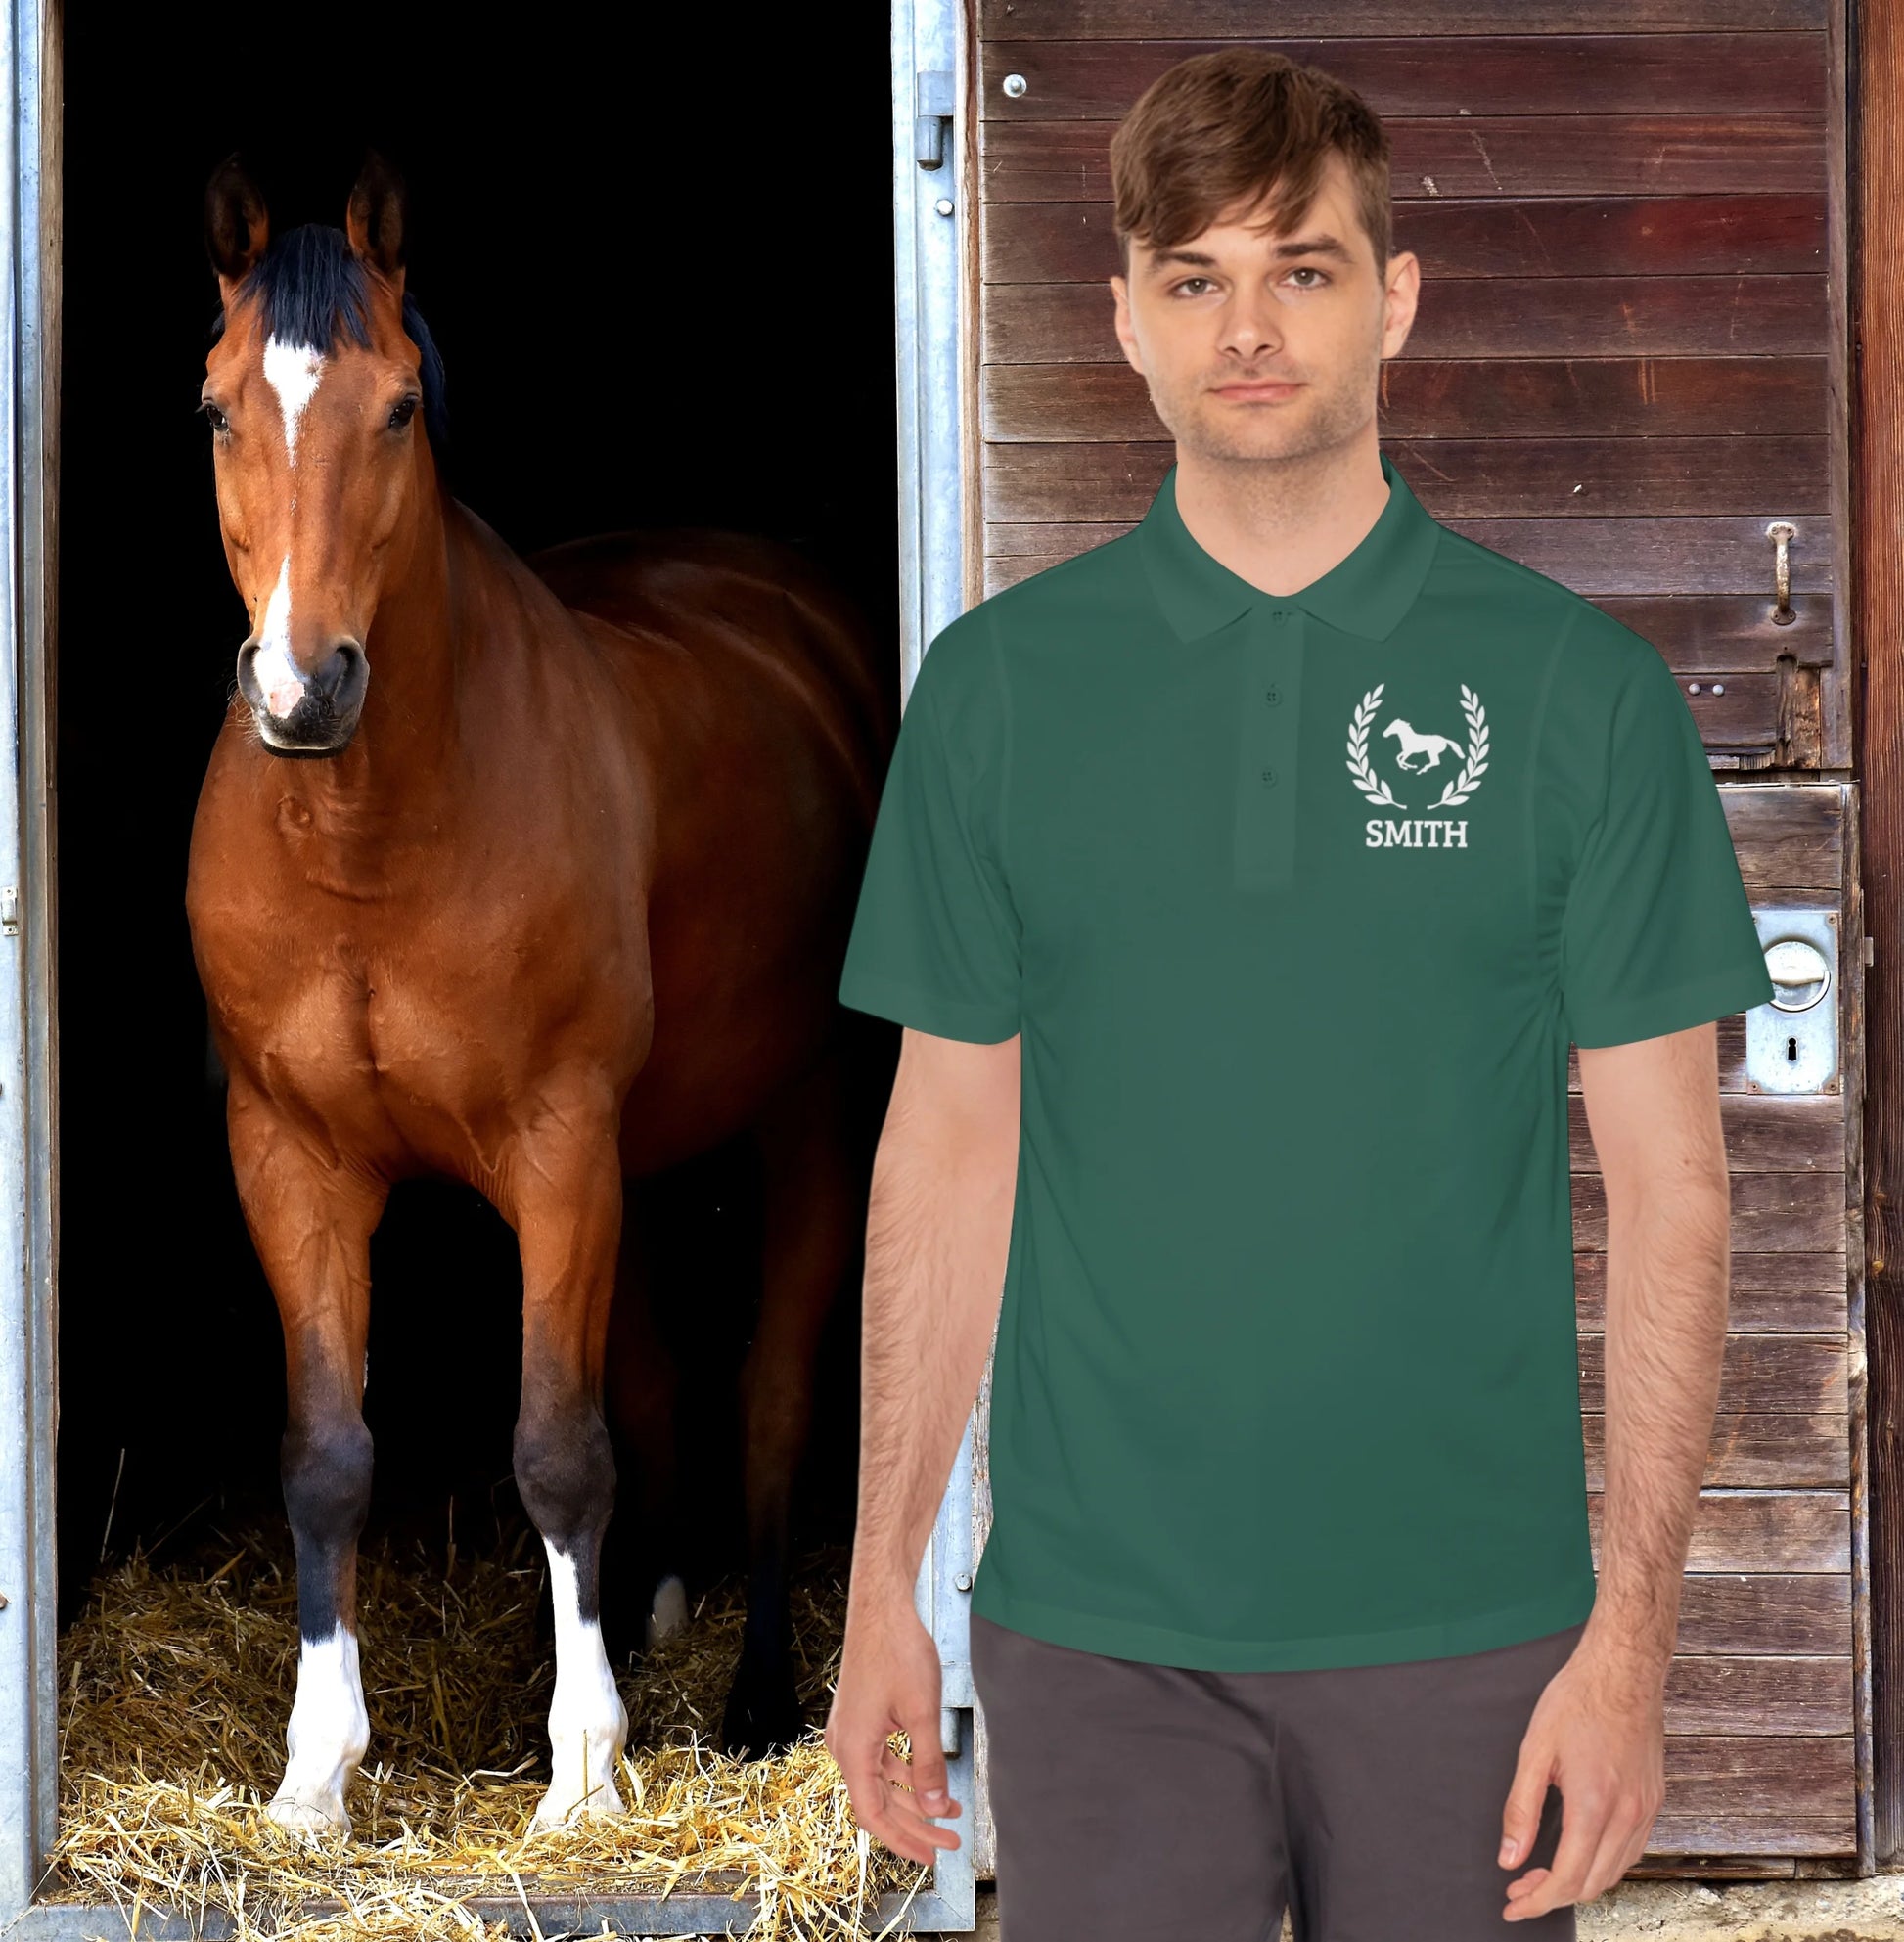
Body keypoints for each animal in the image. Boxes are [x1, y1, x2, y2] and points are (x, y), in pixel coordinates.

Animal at [183, 151, 892, 1835]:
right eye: (216, 407)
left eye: (396, 409)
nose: (302, 690)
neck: (368, 840)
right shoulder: (291, 1156)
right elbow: (327, 1452)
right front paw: (316, 1770)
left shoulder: (558, 1145)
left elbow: (560, 1448)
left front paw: (581, 1771)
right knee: (657, 1381)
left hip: (804, 1121)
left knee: (769, 1399)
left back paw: (758, 1697)